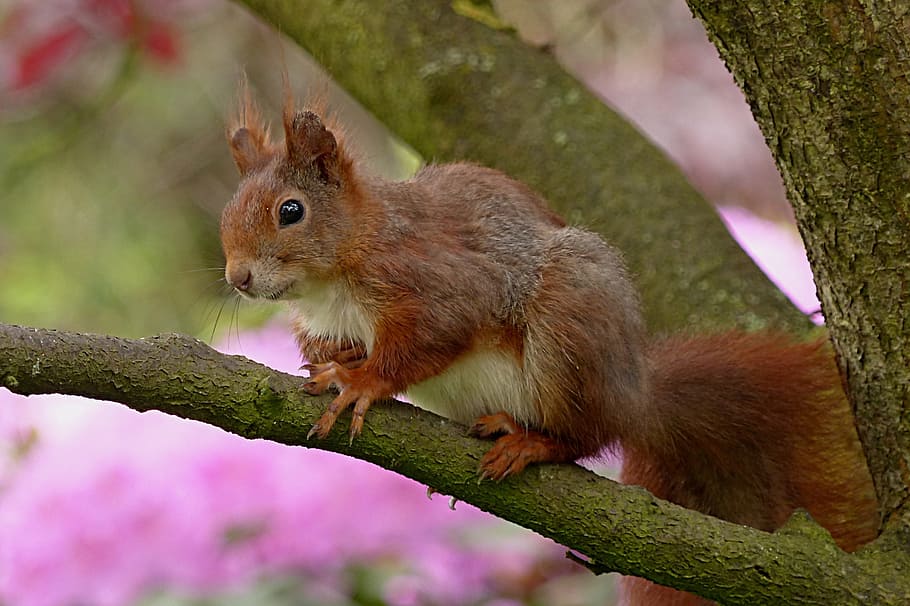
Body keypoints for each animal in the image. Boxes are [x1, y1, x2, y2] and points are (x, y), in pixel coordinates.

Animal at [219, 85, 880, 605]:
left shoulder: (441, 284)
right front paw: (341, 361)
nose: (237, 278)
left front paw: (362, 382)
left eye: (291, 211)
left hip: (568, 330)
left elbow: (428, 340)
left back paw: (531, 441)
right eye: (230, 211)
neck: (335, 274)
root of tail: (636, 394)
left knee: (587, 435)